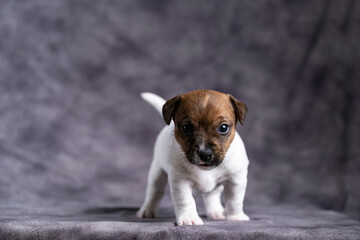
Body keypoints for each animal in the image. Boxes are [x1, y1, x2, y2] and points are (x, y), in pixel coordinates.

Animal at [136, 89, 249, 226]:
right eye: (186, 128)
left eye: (223, 128)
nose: (205, 154)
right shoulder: (180, 181)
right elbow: (185, 200)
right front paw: (188, 218)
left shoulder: (235, 180)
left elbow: (234, 200)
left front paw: (235, 216)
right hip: (157, 172)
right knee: (154, 192)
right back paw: (147, 210)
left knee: (211, 195)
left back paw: (215, 211)